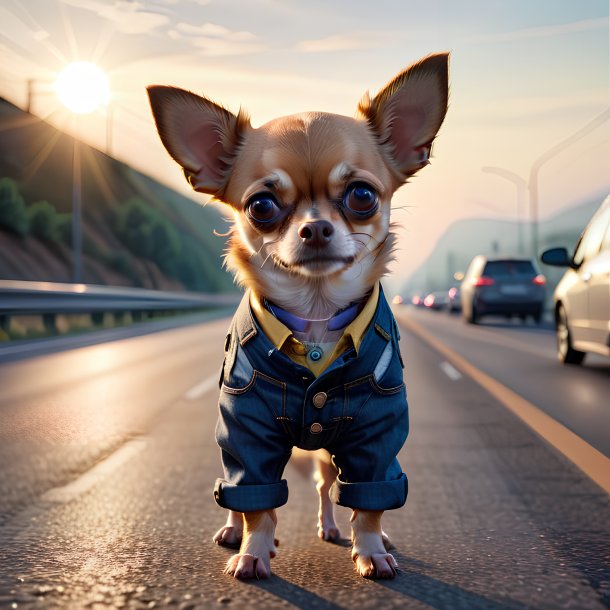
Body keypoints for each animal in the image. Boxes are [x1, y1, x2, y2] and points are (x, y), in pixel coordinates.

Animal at [148, 51, 446, 576]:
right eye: (261, 205)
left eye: (362, 195)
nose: (316, 229)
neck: (316, 317)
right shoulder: (246, 429)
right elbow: (255, 501)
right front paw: (252, 551)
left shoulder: (376, 432)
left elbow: (369, 500)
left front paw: (371, 549)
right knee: (235, 491)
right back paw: (234, 531)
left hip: (328, 451)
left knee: (328, 488)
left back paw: (337, 528)